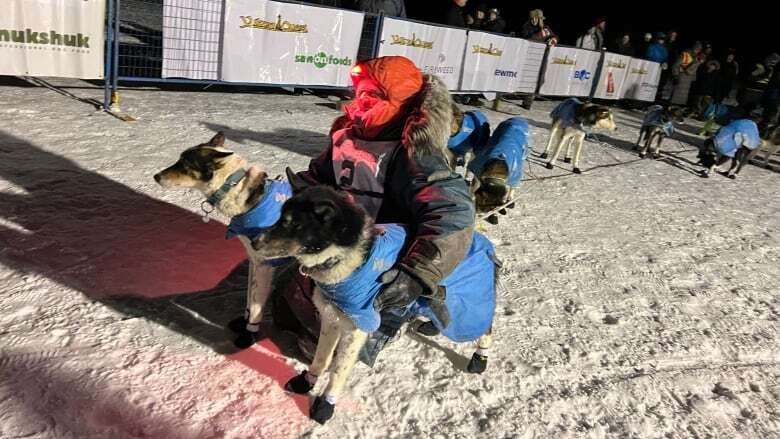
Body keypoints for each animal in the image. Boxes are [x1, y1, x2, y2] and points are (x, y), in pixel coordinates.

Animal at [253, 186, 496, 426]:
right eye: (280, 218)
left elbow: (338, 371)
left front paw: (326, 403)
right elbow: (321, 359)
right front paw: (306, 382)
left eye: (291, 223)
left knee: (486, 328)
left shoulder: (357, 329)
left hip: (470, 309)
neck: (342, 260)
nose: (254, 241)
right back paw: (431, 327)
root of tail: (484, 243)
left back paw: (480, 358)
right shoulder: (331, 320)